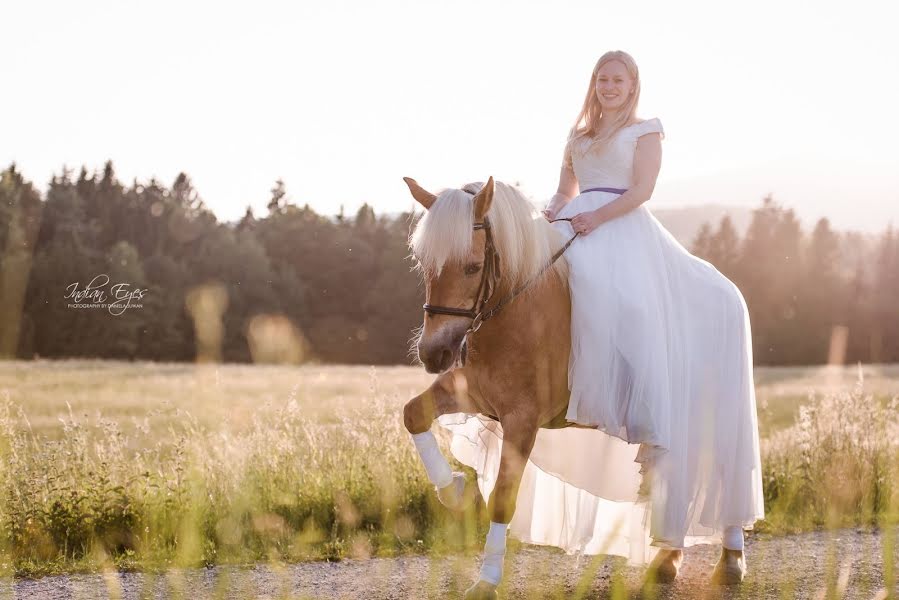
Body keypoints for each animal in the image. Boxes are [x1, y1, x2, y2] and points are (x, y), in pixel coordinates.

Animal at [402, 178, 572, 600]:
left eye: (473, 267)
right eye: (424, 264)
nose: (432, 354)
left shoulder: (522, 421)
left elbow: (502, 501)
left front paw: (487, 581)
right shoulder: (471, 393)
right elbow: (413, 414)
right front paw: (455, 491)